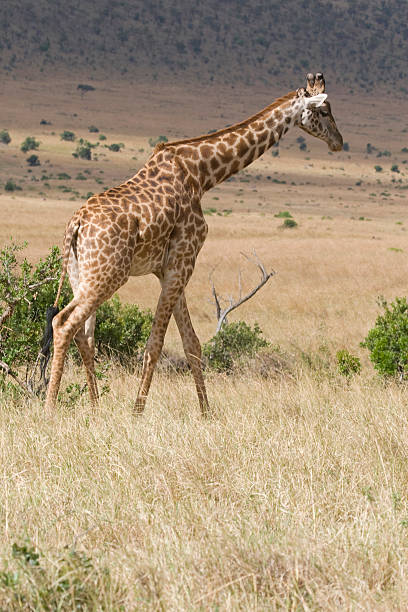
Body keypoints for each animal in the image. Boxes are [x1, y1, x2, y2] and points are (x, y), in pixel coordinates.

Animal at [43, 74, 344, 414]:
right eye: (323, 111)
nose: (338, 141)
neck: (203, 174)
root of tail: (76, 225)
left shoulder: (169, 268)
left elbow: (192, 343)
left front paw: (206, 412)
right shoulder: (183, 261)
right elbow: (156, 344)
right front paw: (137, 412)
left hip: (81, 274)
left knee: (85, 335)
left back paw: (95, 410)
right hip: (108, 275)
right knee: (63, 323)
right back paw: (50, 409)